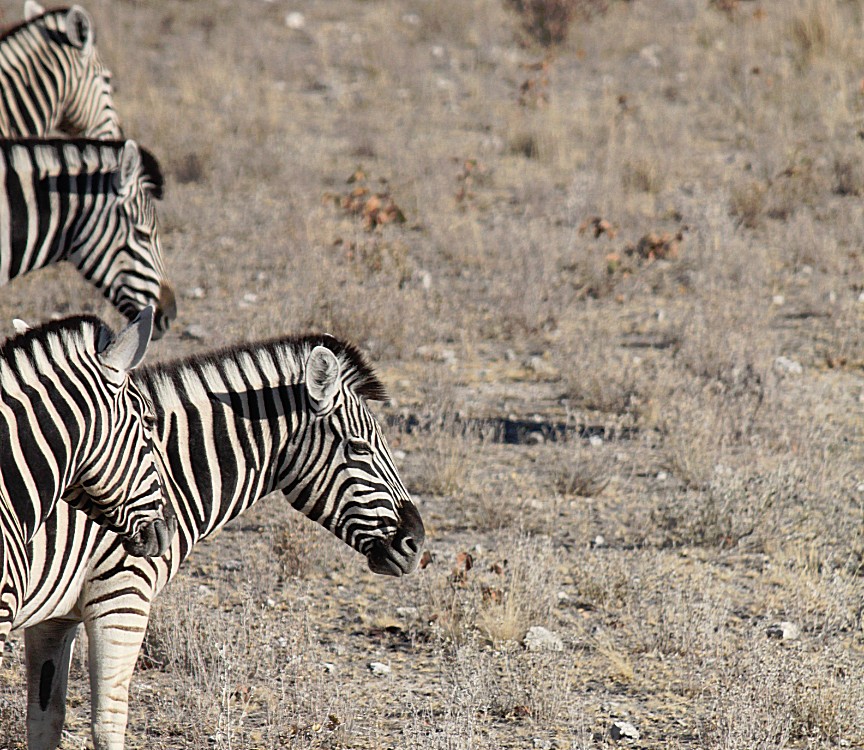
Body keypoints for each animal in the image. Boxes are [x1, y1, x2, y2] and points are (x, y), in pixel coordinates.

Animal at [13, 332, 426, 750]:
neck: (166, 474)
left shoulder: (56, 616)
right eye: (360, 448)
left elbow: (45, 718)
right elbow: (108, 723)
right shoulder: (121, 597)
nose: (416, 543)